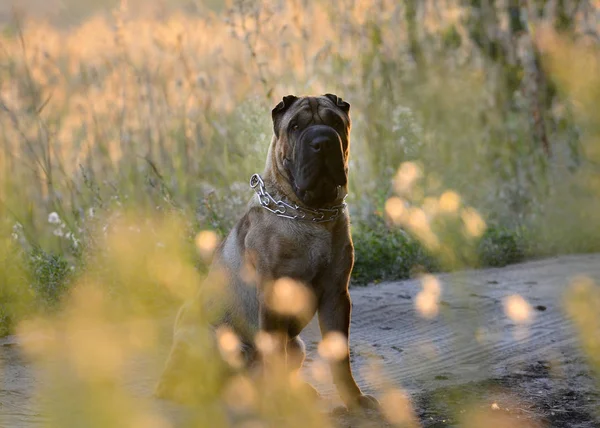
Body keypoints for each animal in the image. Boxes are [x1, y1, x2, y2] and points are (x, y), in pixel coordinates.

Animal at [157, 94, 378, 412]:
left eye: (336, 122)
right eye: (295, 126)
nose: (322, 141)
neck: (311, 214)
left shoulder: (337, 296)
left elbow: (339, 357)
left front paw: (354, 399)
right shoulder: (274, 297)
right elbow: (275, 356)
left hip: (297, 345)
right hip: (215, 340)